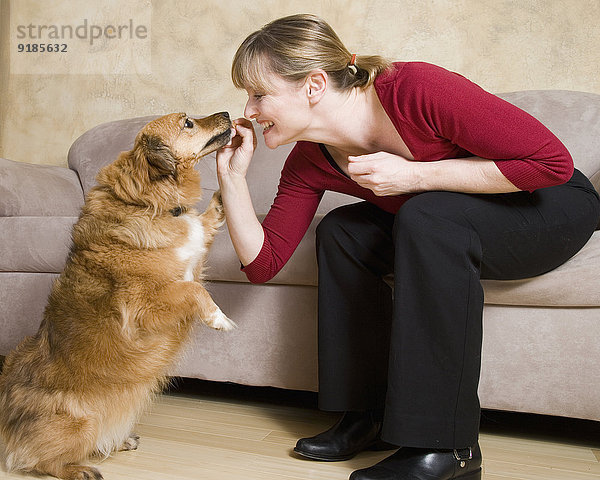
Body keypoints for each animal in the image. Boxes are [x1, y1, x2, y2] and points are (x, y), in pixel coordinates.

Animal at [0, 111, 237, 480]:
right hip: (79, 422)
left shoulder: (194, 251)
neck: (150, 203)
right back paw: (79, 469)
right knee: (38, 461)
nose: (227, 113)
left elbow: (209, 216)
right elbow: (195, 289)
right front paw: (218, 318)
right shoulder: (145, 309)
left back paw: (117, 441)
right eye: (188, 123)